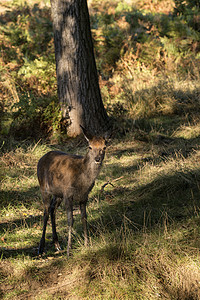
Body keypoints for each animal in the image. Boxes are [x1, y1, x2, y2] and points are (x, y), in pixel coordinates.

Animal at [37, 126, 109, 255]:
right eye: (90, 146)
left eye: (104, 147)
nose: (97, 159)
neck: (82, 182)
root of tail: (41, 159)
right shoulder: (68, 194)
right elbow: (70, 220)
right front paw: (69, 250)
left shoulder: (84, 196)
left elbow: (84, 218)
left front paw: (87, 245)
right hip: (44, 188)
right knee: (45, 212)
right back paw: (41, 247)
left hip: (58, 194)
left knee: (52, 209)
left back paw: (57, 244)